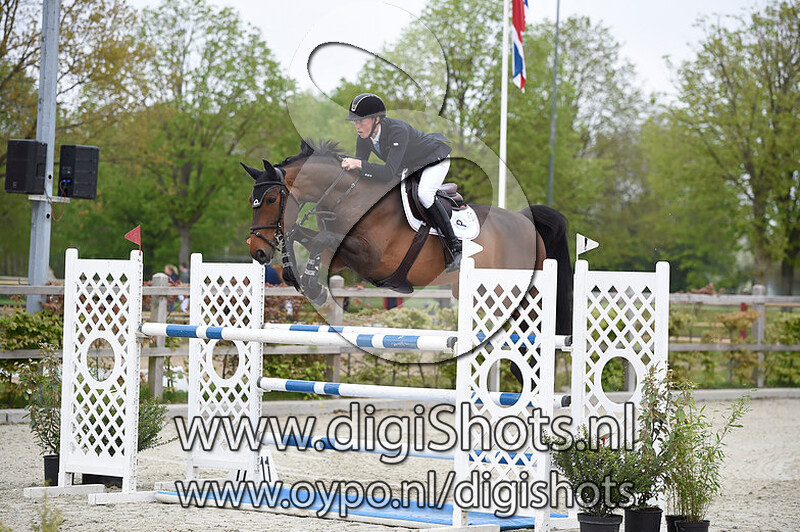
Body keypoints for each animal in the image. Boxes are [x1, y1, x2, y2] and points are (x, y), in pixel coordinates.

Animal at [244, 139, 573, 336]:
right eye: (252, 200)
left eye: (271, 199)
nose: (257, 251)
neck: (349, 196)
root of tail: (526, 221)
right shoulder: (339, 257)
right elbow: (307, 236)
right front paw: (297, 276)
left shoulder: (373, 258)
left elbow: (320, 238)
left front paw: (312, 286)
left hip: (513, 291)